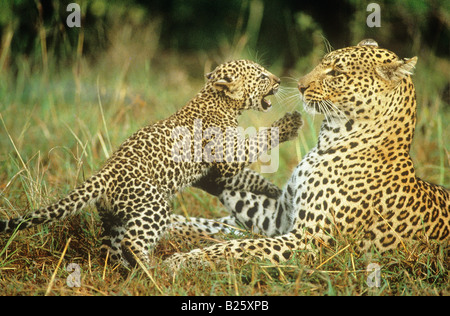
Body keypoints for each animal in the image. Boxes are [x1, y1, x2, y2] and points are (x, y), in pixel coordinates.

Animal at [0, 59, 302, 266]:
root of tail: (104, 174)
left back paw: (124, 271)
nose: (278, 80)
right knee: (133, 242)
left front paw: (274, 191)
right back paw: (151, 269)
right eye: (261, 76)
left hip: (115, 218)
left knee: (110, 248)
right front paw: (287, 125)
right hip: (153, 207)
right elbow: (258, 141)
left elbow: (248, 177)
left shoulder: (215, 173)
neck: (218, 100)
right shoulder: (227, 156)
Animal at [166, 39, 450, 270]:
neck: (329, 139)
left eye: (336, 73)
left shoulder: (308, 240)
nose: (300, 85)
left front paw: (183, 260)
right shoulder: (277, 216)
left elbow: (238, 248)